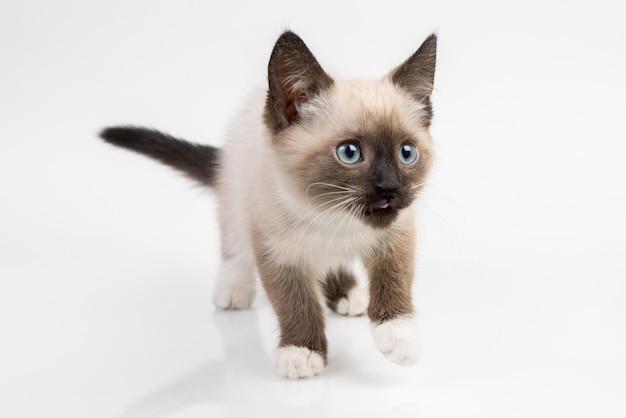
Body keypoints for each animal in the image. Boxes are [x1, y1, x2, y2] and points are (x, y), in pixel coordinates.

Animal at [101, 31, 434, 378]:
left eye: (406, 153)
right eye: (350, 153)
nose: (390, 188)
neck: (331, 220)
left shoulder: (396, 234)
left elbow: (395, 283)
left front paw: (400, 339)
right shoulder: (278, 252)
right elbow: (296, 302)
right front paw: (301, 352)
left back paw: (349, 294)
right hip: (236, 199)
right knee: (233, 244)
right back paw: (233, 290)